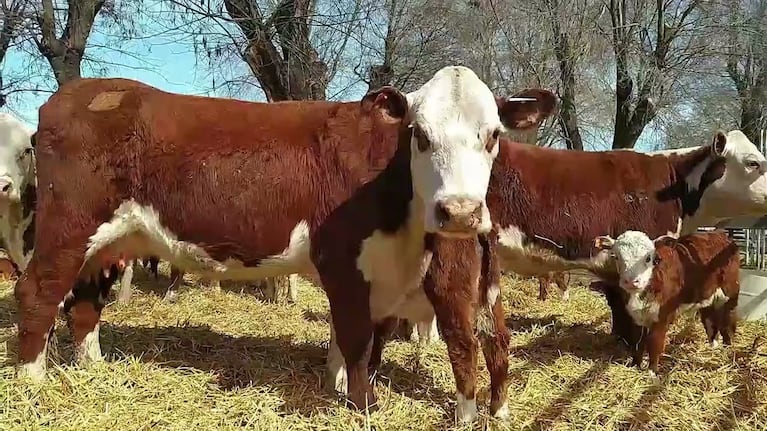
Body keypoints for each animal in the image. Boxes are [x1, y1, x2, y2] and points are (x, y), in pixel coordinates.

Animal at [592, 231, 736, 384]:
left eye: (648, 258)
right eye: (616, 256)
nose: (631, 281)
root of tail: (719, 234)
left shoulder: (662, 317)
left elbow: (655, 343)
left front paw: (652, 372)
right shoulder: (635, 317)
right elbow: (637, 342)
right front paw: (635, 365)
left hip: (730, 293)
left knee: (727, 319)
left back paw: (728, 346)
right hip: (707, 298)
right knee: (710, 319)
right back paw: (713, 345)